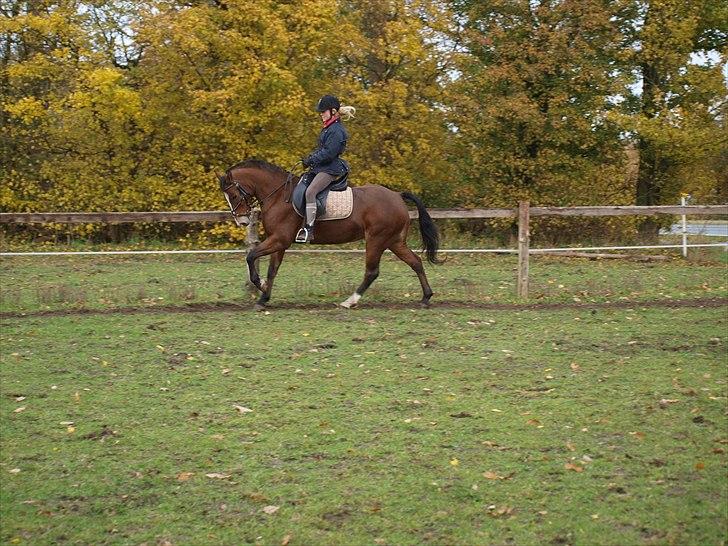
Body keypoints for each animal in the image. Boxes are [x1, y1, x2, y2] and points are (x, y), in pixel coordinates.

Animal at [219, 159, 440, 308]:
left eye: (233, 195)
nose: (242, 221)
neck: (279, 195)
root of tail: (396, 195)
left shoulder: (279, 239)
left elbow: (251, 256)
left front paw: (260, 286)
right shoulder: (279, 242)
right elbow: (272, 270)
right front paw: (264, 298)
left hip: (376, 240)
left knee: (372, 272)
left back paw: (350, 301)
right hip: (394, 241)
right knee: (415, 262)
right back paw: (425, 298)